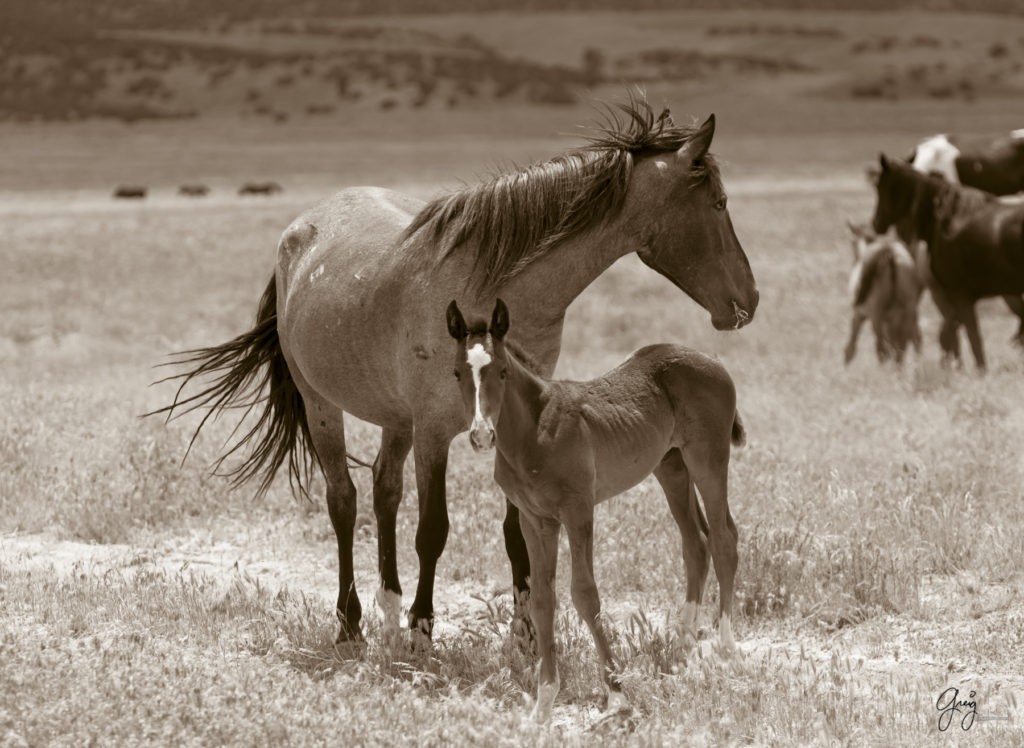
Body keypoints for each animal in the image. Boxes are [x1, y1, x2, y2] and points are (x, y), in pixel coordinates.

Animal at [153, 96, 761, 647]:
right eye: (719, 203)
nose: (750, 299)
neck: (494, 285)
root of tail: (301, 229)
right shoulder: (433, 432)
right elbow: (433, 531)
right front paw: (424, 629)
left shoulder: (508, 425)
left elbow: (515, 531)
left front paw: (525, 633)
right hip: (322, 404)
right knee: (344, 501)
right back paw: (353, 623)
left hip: (394, 419)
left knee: (385, 490)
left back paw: (389, 608)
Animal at [444, 299, 741, 721]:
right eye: (457, 372)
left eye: (502, 371)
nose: (482, 435)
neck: (533, 431)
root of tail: (712, 361)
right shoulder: (536, 520)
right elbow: (542, 599)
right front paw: (544, 703)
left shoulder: (578, 510)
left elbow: (584, 594)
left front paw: (616, 693)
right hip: (671, 466)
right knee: (696, 543)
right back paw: (681, 651)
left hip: (708, 459)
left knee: (723, 538)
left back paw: (725, 648)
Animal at [843, 218, 925, 364]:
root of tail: (889, 252)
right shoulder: (892, 320)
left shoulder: (859, 314)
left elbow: (850, 349)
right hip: (908, 310)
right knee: (907, 344)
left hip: (877, 315)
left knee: (883, 349)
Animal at [872, 153, 1024, 370]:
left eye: (880, 187)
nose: (876, 223)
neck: (944, 222)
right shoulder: (958, 296)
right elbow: (954, 333)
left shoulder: (959, 295)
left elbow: (971, 340)